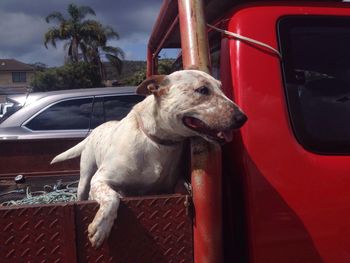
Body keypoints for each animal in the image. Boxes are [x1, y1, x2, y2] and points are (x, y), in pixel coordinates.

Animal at [50, 69, 247, 249]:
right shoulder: (100, 179)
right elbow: (112, 197)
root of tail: (97, 129)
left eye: (221, 88)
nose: (243, 118)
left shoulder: (175, 183)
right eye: (202, 90)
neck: (157, 143)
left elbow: (181, 189)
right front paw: (101, 227)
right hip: (85, 177)